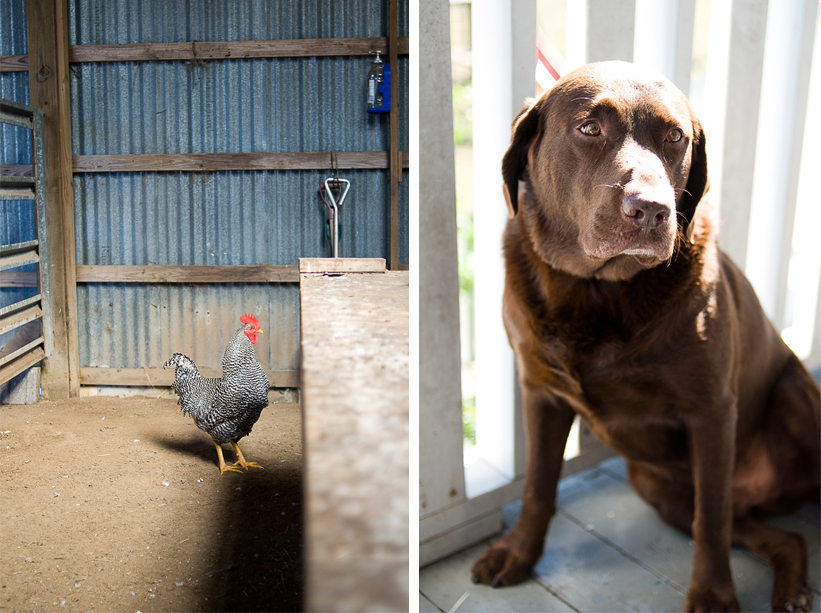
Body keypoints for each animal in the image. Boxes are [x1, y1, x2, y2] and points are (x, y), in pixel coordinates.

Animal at [470, 61, 816, 612]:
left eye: (674, 137)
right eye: (590, 128)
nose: (652, 210)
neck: (598, 292)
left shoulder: (711, 412)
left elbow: (710, 520)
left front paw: (713, 594)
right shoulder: (542, 394)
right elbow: (537, 487)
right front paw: (519, 553)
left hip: (794, 401)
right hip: (660, 488)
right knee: (788, 537)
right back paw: (791, 592)